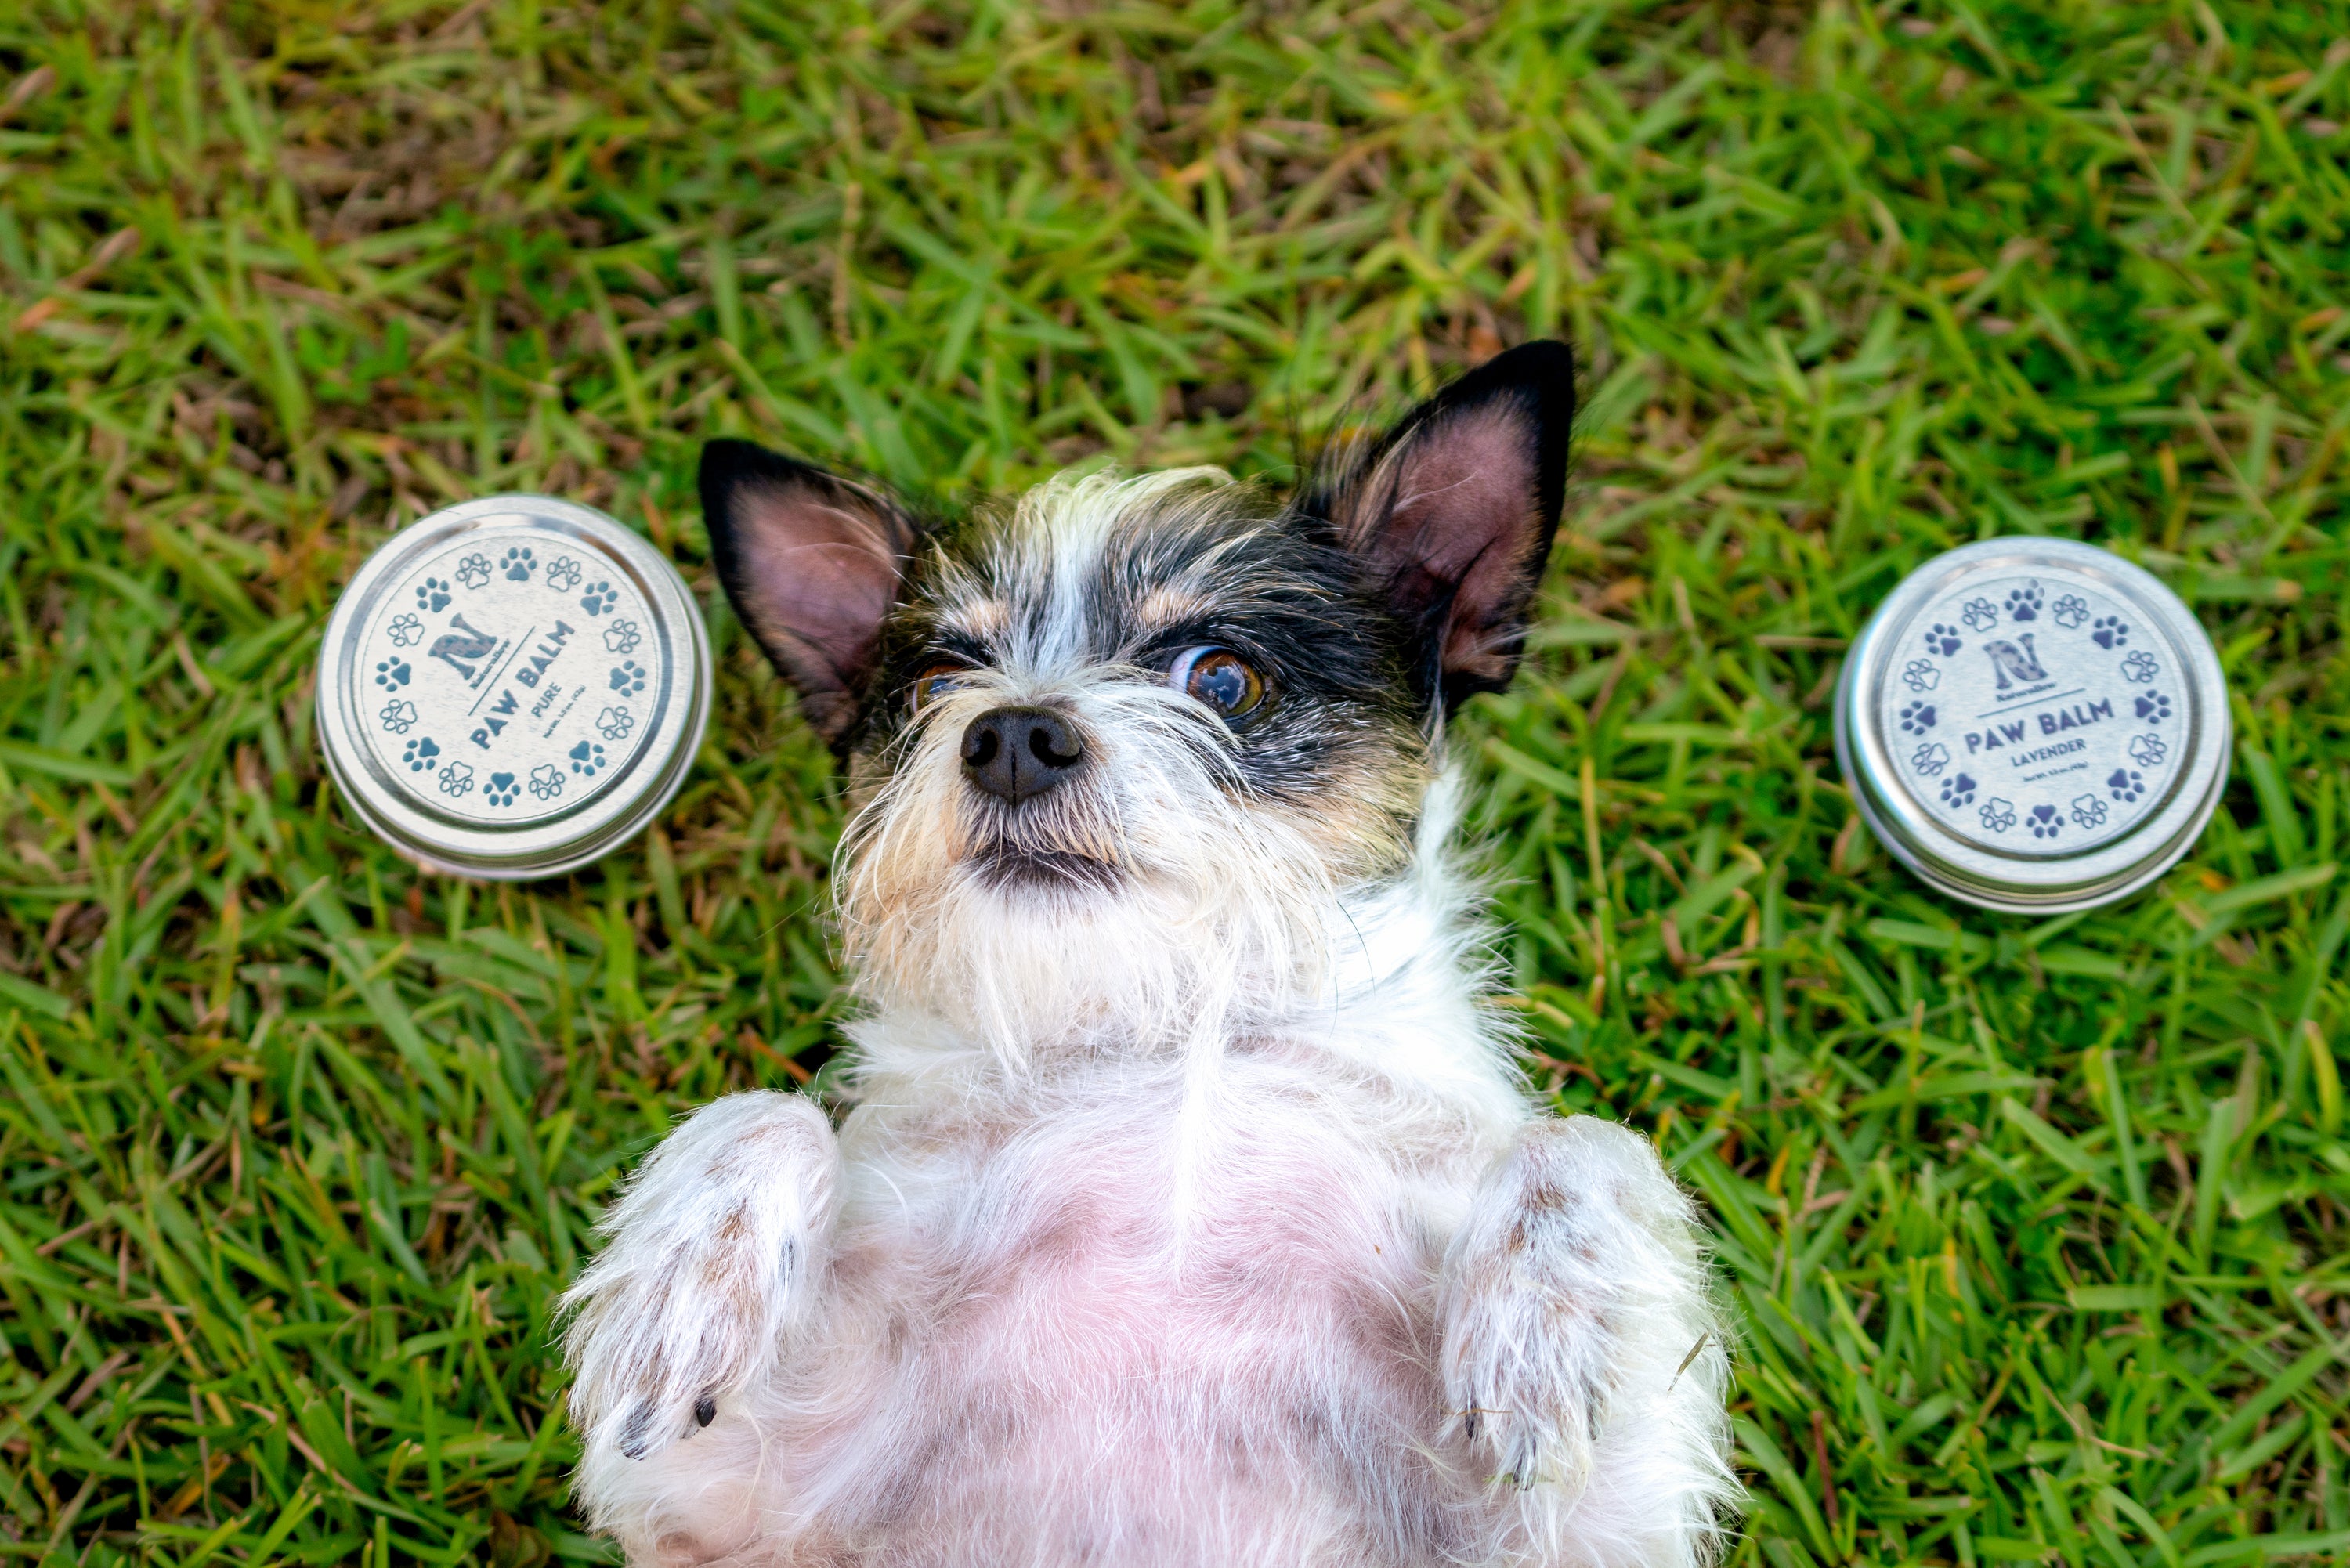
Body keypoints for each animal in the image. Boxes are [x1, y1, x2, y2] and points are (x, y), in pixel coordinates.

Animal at [559, 343, 1739, 1568]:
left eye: (1222, 679)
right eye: (933, 687)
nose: (1011, 735)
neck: (1153, 1033)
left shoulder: (1584, 1526)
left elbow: (1591, 1142)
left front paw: (1541, 1331)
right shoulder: (719, 1508)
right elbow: (760, 1111)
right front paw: (676, 1295)